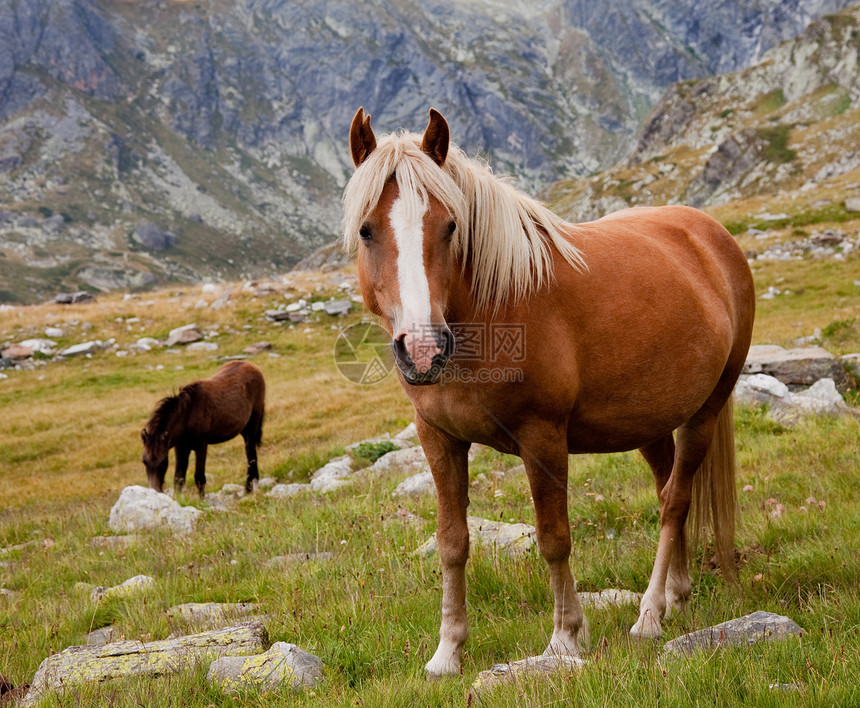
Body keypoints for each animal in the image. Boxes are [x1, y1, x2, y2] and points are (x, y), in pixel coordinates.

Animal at [141, 362, 266, 496]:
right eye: (144, 462)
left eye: (163, 462)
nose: (154, 490)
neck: (187, 415)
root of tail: (252, 366)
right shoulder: (180, 447)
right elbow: (178, 478)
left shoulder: (201, 446)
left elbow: (199, 477)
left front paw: (202, 499)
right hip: (244, 430)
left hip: (252, 426)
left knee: (251, 454)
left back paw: (249, 488)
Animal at [342, 106, 752, 676]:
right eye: (366, 230)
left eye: (450, 226)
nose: (423, 350)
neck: (494, 309)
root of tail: (712, 234)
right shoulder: (438, 438)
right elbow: (452, 542)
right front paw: (447, 652)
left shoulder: (543, 439)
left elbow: (554, 538)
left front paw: (564, 638)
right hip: (651, 423)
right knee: (670, 489)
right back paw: (676, 597)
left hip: (705, 413)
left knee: (674, 501)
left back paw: (649, 615)